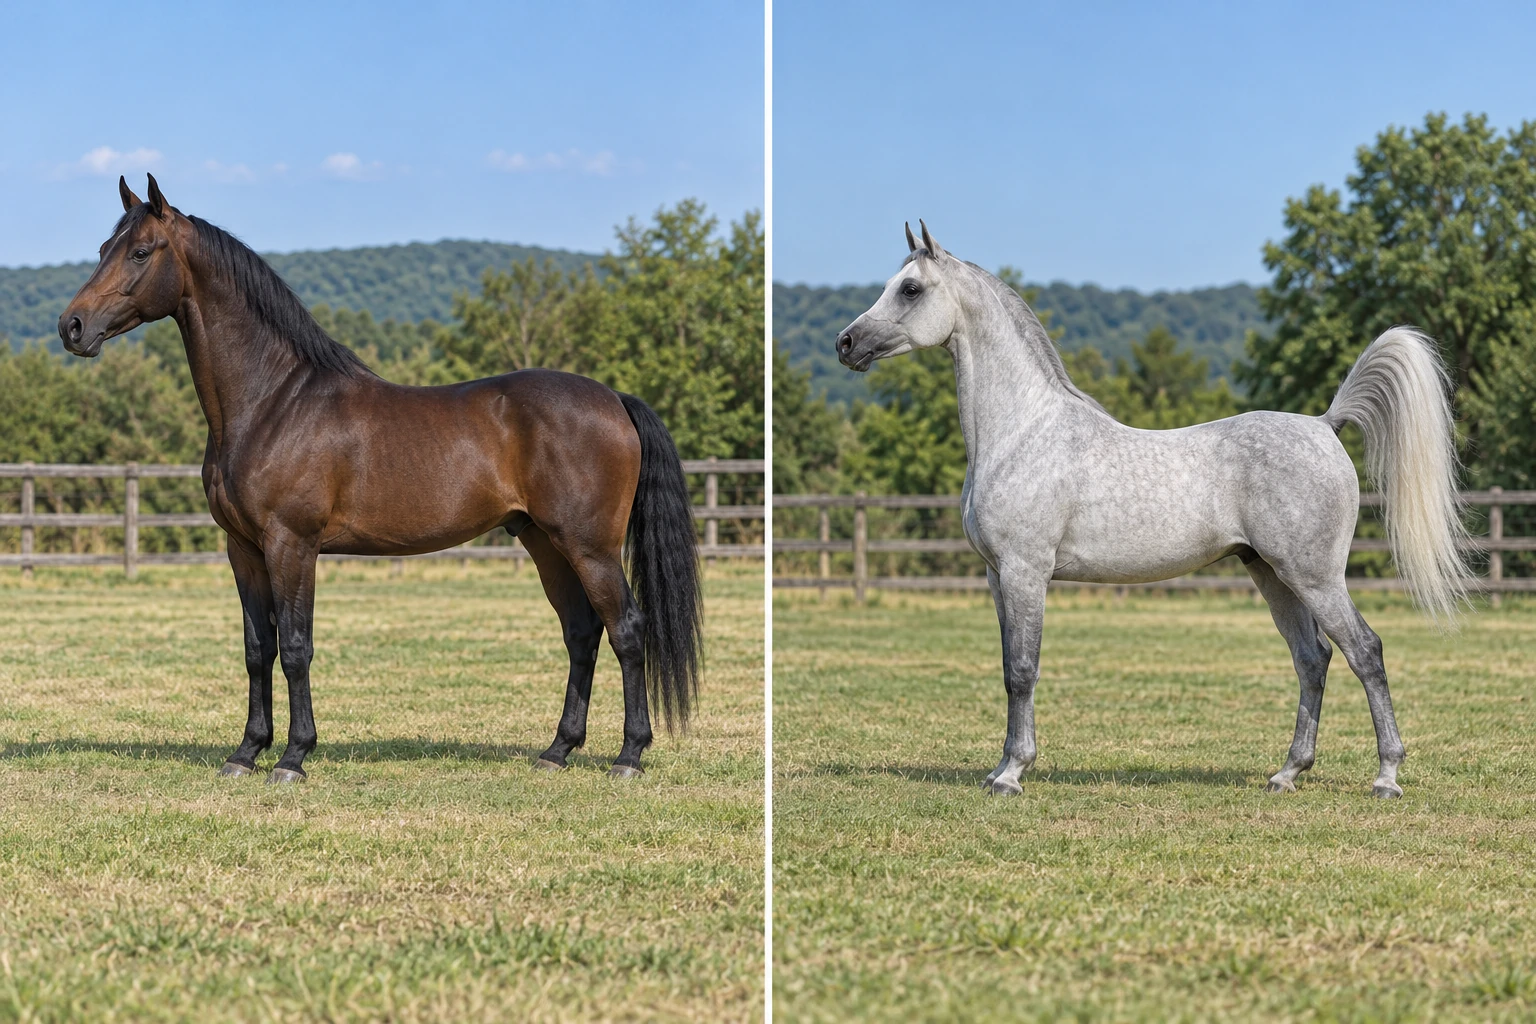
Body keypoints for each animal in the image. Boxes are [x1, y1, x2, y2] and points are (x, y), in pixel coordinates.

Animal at [59, 174, 701, 784]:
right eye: (105, 248)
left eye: (141, 252)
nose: (72, 326)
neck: (272, 401)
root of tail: (613, 399)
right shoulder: (242, 548)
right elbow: (257, 648)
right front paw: (246, 753)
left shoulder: (292, 544)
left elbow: (295, 647)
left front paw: (293, 757)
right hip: (545, 542)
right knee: (581, 633)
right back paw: (557, 751)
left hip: (589, 546)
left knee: (626, 630)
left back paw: (629, 755)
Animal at [836, 221, 1467, 800]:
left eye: (910, 288)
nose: (845, 344)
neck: (1022, 431)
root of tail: (1324, 424)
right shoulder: (997, 576)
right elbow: (1008, 669)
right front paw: (1000, 768)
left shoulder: (1024, 572)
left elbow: (1023, 670)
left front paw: (1012, 774)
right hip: (1271, 573)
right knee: (1313, 660)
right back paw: (1287, 774)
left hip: (1314, 576)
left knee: (1365, 652)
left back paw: (1386, 777)